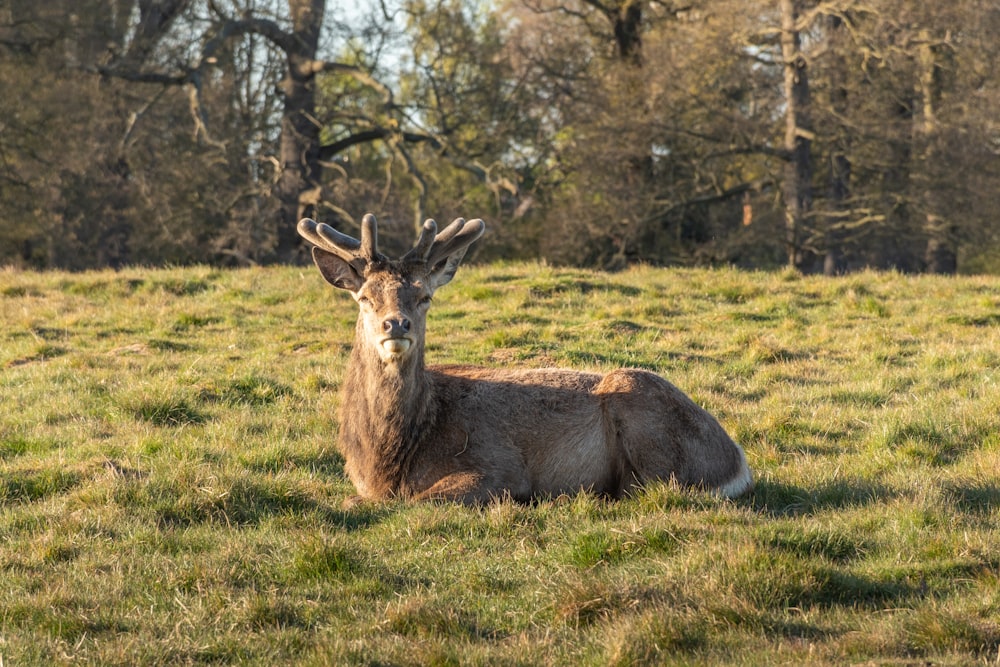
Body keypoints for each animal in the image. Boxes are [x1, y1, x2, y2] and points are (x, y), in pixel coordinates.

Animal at [296, 214, 752, 506]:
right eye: (364, 297)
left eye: (424, 296)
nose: (397, 324)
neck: (388, 458)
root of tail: (738, 464)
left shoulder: (499, 468)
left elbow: (409, 501)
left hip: (641, 405)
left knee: (651, 489)